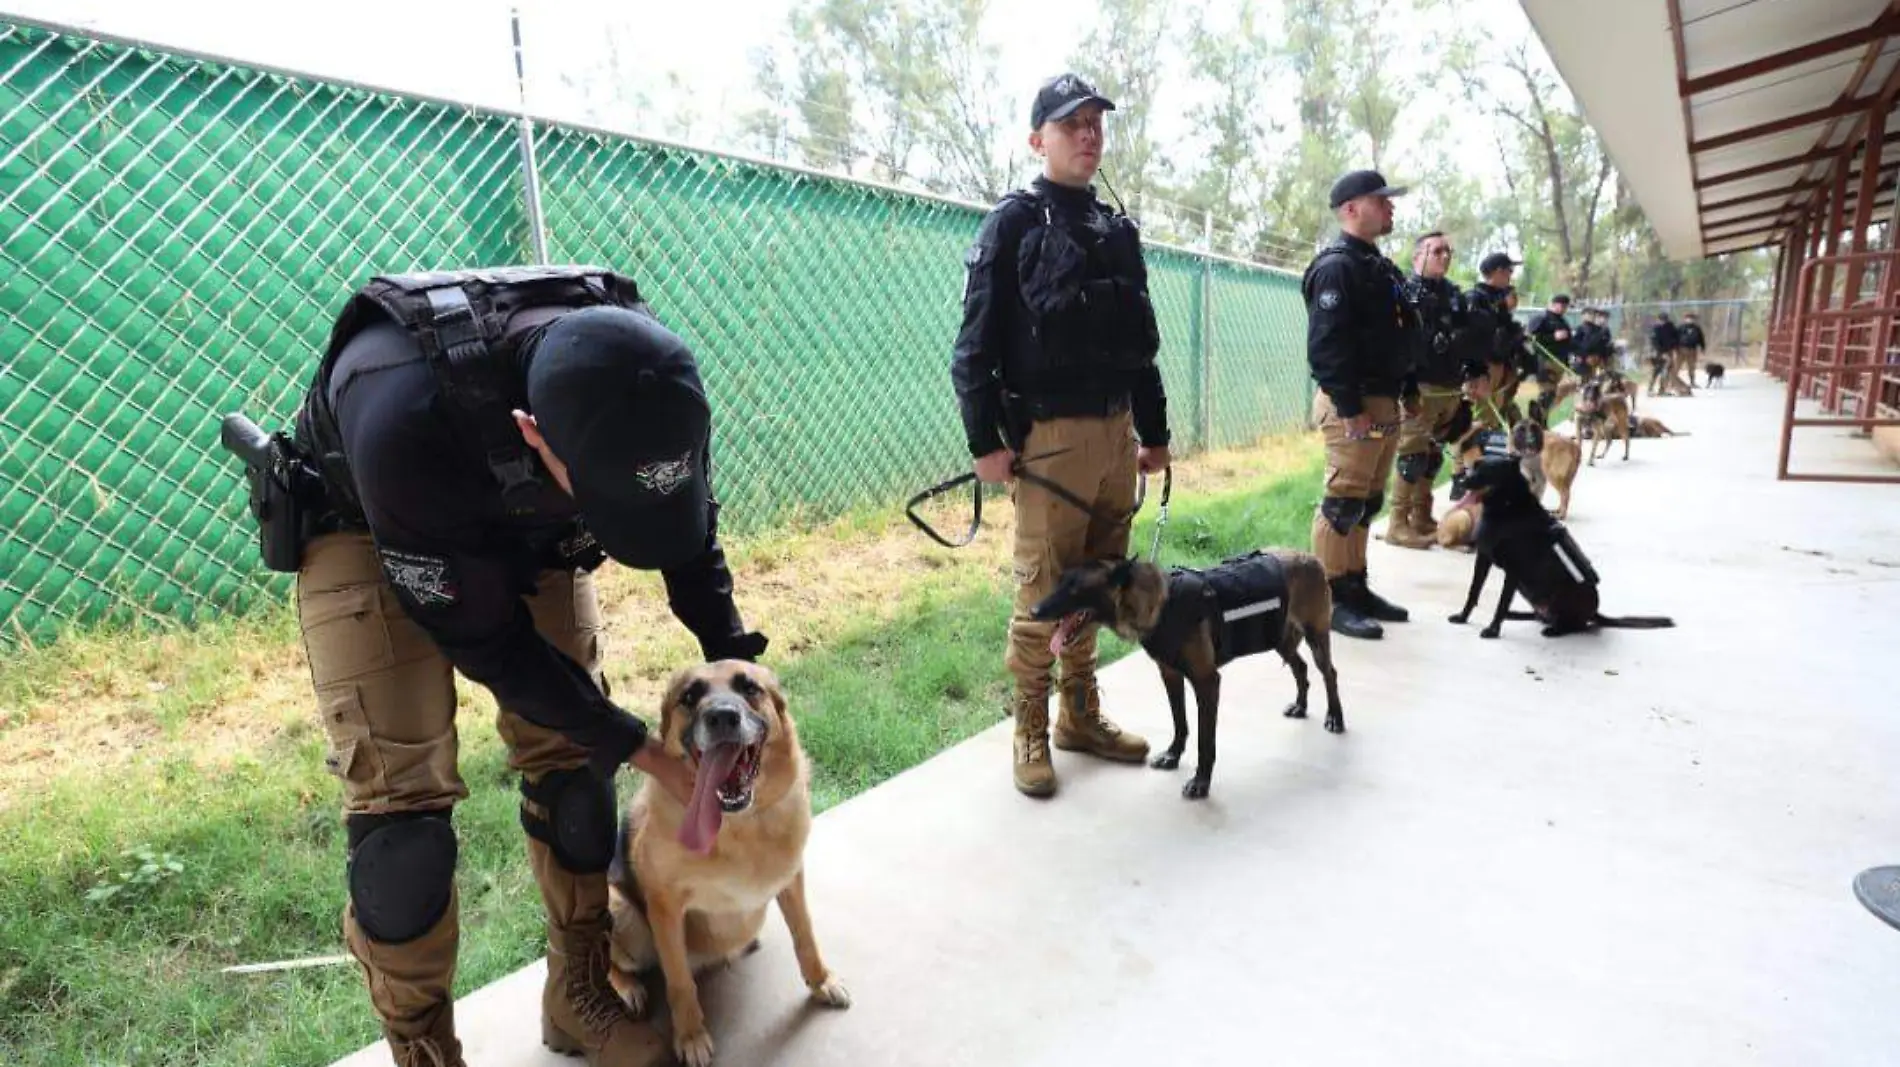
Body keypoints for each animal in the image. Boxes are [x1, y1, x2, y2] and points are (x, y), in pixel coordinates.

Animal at [611, 656, 851, 1063]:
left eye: (749, 688)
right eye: (689, 697)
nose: (722, 717)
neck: (737, 827)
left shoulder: (791, 880)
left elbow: (805, 935)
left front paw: (821, 981)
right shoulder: (664, 907)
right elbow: (679, 981)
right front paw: (690, 1036)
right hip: (622, 912)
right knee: (603, 959)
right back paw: (627, 987)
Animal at [1033, 546, 1345, 797]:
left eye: (1075, 589)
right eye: (1060, 583)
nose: (1035, 611)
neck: (1161, 604)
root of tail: (1311, 558)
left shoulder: (1207, 682)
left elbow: (1205, 742)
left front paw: (1201, 783)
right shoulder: (1171, 676)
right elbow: (1180, 722)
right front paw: (1173, 756)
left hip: (1316, 636)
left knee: (1329, 673)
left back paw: (1335, 717)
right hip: (1279, 638)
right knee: (1301, 668)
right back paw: (1301, 706)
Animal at [1444, 451, 1672, 634]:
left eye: (1488, 471)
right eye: (1473, 466)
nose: (1462, 482)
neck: (1506, 507)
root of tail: (1596, 611)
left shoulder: (1514, 570)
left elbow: (1502, 602)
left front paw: (1493, 630)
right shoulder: (1483, 558)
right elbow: (1473, 591)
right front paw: (1463, 617)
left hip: (1562, 593)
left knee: (1577, 624)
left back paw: (1555, 629)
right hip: (1528, 591)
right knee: (1541, 616)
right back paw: (1518, 615)